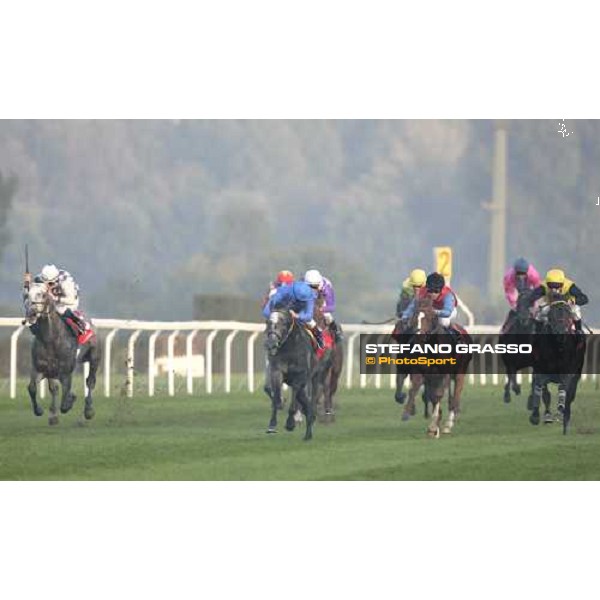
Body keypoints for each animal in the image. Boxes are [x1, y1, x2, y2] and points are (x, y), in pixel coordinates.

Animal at [24, 282, 101, 426]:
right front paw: (39, 411)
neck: (50, 339)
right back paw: (53, 415)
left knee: (90, 382)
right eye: (27, 294)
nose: (31, 313)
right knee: (54, 388)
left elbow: (65, 398)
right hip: (52, 371)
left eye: (42, 294)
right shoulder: (40, 368)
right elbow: (32, 388)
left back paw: (88, 410)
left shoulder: (66, 371)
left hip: (94, 358)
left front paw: (71, 400)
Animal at [264, 310, 316, 440]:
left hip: (307, 383)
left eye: (283, 323)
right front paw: (272, 425)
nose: (271, 343)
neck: (290, 349)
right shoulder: (277, 372)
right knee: (305, 404)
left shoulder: (299, 377)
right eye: (268, 322)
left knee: (307, 403)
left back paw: (308, 433)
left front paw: (290, 423)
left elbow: (293, 403)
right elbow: (276, 399)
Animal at [528, 302, 584, 434]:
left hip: (577, 373)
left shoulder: (567, 372)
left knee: (570, 396)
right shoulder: (540, 371)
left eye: (567, 315)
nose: (560, 332)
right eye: (551, 317)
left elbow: (563, 389)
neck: (558, 349)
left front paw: (560, 412)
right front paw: (539, 416)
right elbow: (543, 393)